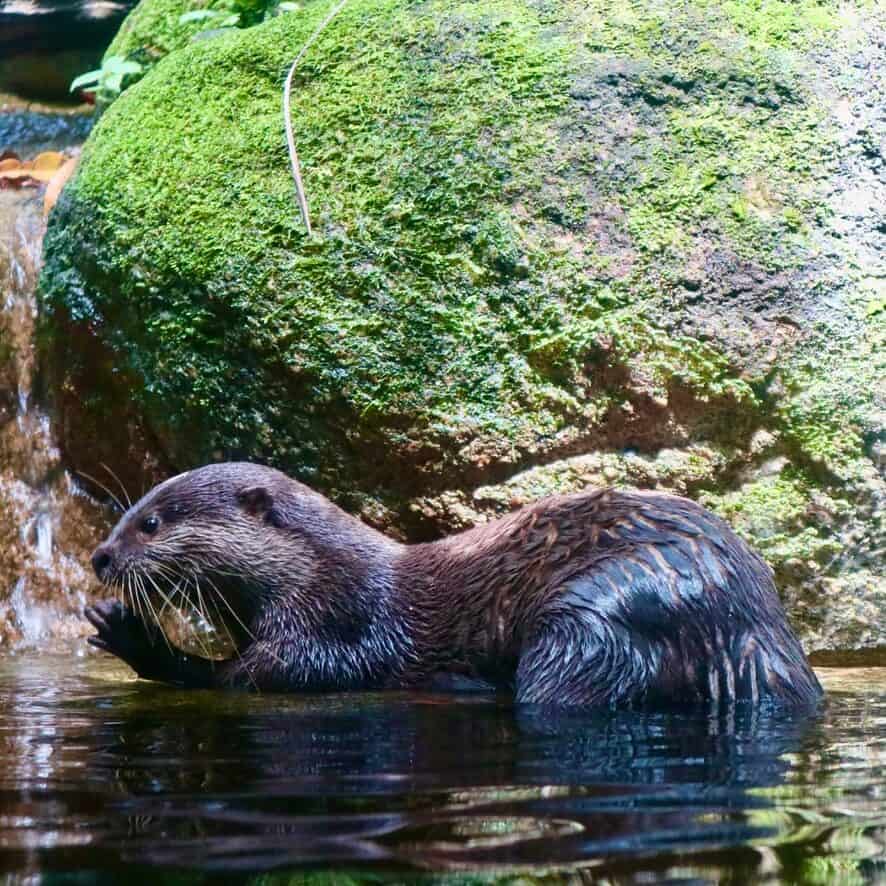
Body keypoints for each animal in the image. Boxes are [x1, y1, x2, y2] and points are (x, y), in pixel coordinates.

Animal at [85, 464, 824, 708]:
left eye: (150, 522)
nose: (99, 555)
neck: (319, 572)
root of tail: (754, 627)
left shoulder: (334, 623)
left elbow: (246, 678)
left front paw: (137, 636)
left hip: (595, 615)